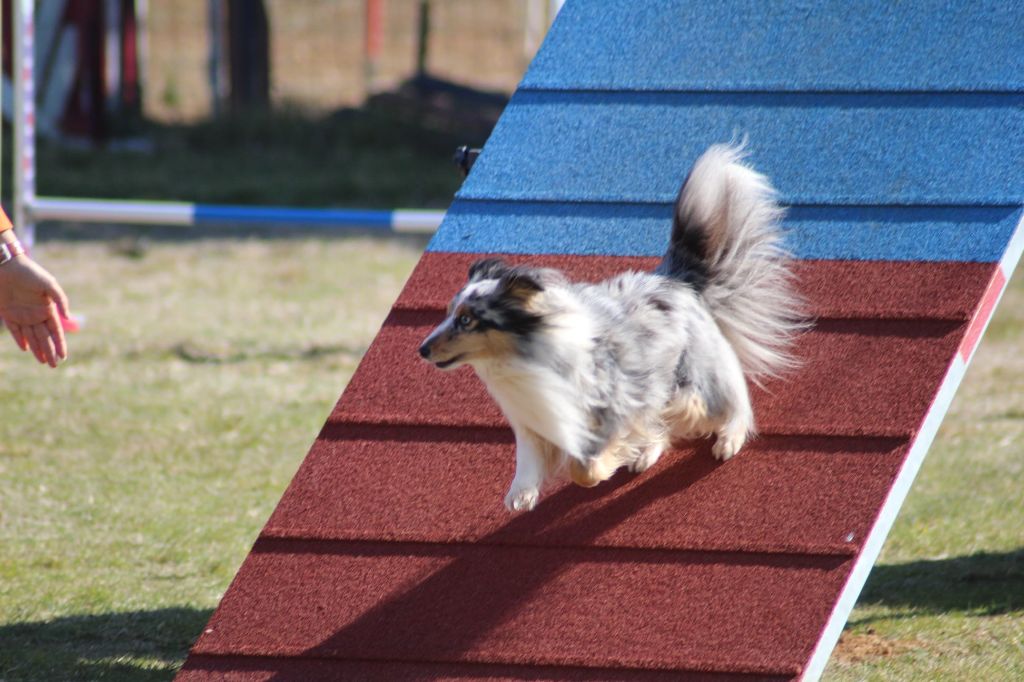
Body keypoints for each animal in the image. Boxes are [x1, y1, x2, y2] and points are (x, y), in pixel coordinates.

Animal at [419, 147, 802, 509]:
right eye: (449, 313)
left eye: (467, 319)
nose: (422, 349)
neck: (521, 356)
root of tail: (674, 280)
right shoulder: (533, 420)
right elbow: (528, 460)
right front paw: (521, 495)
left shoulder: (611, 408)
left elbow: (584, 469)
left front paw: (603, 467)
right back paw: (648, 450)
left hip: (694, 378)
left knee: (730, 402)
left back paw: (726, 438)